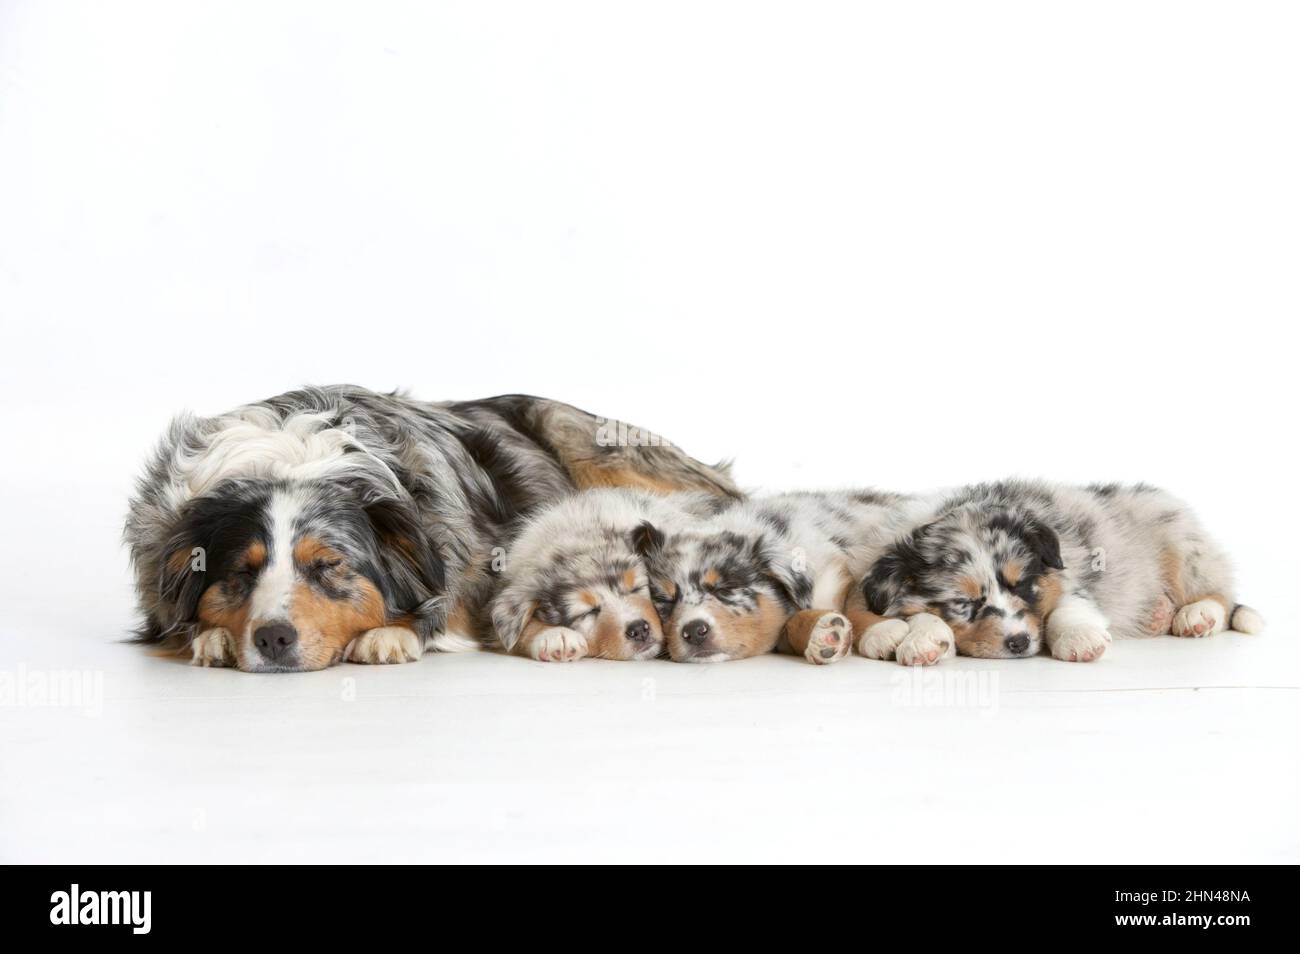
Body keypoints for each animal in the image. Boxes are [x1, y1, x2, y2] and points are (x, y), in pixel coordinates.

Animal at [857, 478, 1263, 665]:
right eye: (963, 603)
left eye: (1024, 585)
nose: (1019, 642)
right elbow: (918, 615)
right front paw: (925, 639)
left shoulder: (1071, 576)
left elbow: (1064, 608)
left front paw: (1080, 639)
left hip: (1183, 544)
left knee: (1220, 594)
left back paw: (1197, 614)